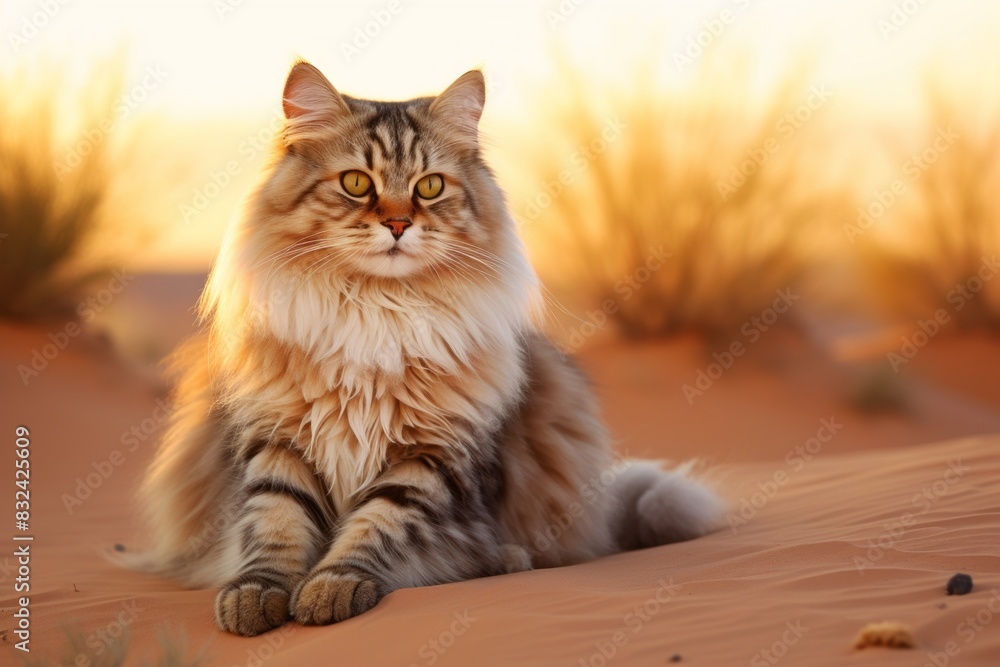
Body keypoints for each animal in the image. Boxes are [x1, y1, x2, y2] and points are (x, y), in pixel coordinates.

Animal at [133, 61, 728, 636]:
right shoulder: (279, 441)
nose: (398, 224)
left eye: (430, 187)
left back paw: (505, 560)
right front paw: (256, 595)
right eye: (356, 183)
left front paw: (333, 586)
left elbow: (376, 528)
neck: (375, 314)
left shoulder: (429, 456)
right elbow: (274, 525)